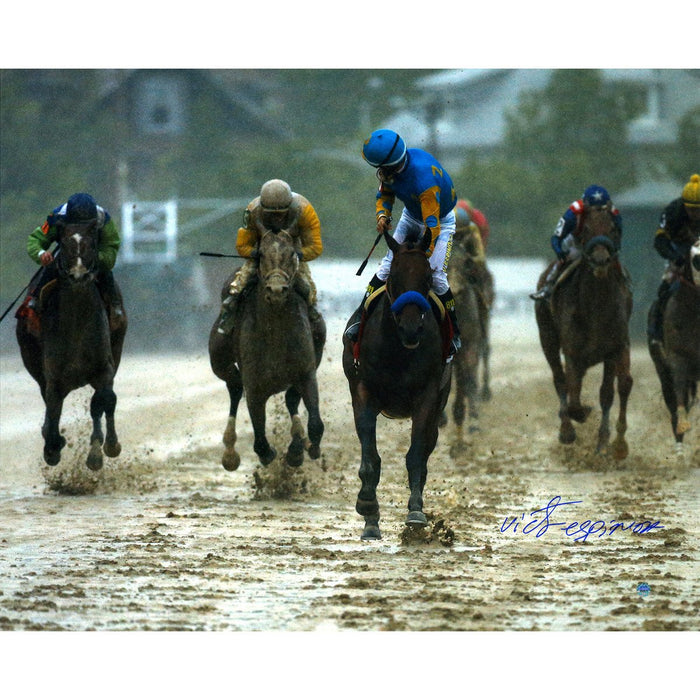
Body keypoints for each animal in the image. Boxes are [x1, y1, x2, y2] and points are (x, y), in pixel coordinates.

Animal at [16, 219, 127, 470]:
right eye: (65, 244)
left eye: (92, 243)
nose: (78, 274)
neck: (77, 322)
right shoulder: (54, 376)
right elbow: (53, 409)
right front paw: (53, 447)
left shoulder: (104, 367)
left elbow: (104, 401)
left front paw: (104, 449)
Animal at [209, 228, 326, 470]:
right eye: (260, 255)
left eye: (292, 254)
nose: (277, 290)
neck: (275, 331)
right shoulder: (254, 386)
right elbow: (260, 442)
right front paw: (270, 453)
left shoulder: (306, 372)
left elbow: (315, 423)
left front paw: (301, 448)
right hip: (219, 359)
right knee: (234, 387)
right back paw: (230, 451)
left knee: (290, 398)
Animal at [342, 230, 452, 540]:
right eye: (394, 276)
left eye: (427, 278)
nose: (411, 328)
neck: (397, 350)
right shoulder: (363, 392)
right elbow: (371, 457)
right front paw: (368, 508)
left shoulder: (427, 395)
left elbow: (416, 456)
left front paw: (415, 513)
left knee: (425, 452)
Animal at [536, 219, 636, 460]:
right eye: (587, 228)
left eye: (613, 228)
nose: (601, 260)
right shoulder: (572, 351)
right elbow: (571, 394)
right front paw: (577, 420)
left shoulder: (614, 348)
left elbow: (609, 392)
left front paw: (607, 445)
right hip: (547, 338)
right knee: (560, 379)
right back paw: (566, 430)